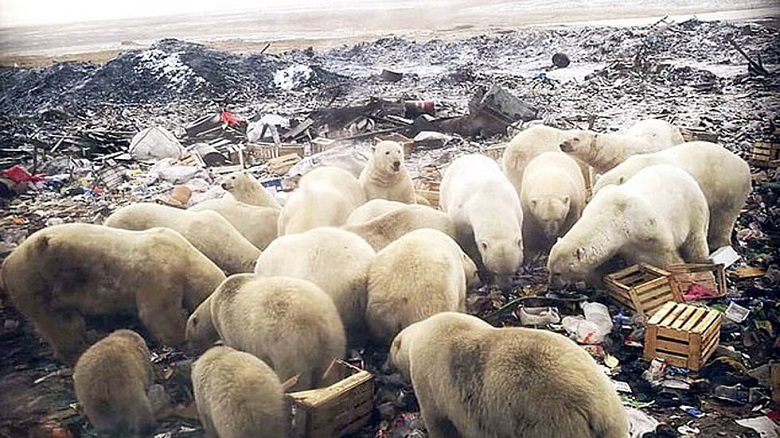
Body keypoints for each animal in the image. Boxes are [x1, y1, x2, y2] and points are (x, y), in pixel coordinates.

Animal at [1, 224, 224, 362]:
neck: (185, 256)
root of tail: (6, 264)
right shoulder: (159, 273)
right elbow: (158, 313)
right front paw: (179, 337)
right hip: (38, 281)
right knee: (59, 323)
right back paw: (77, 350)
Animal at [186, 274, 344, 390]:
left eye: (189, 339)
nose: (191, 352)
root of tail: (316, 323)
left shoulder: (228, 326)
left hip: (289, 345)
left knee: (294, 376)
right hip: (333, 337)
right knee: (328, 371)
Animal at [544, 163, 708, 286]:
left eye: (558, 273)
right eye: (549, 269)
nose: (552, 285)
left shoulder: (648, 231)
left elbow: (667, 258)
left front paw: (685, 278)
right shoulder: (624, 245)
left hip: (693, 208)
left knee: (696, 240)